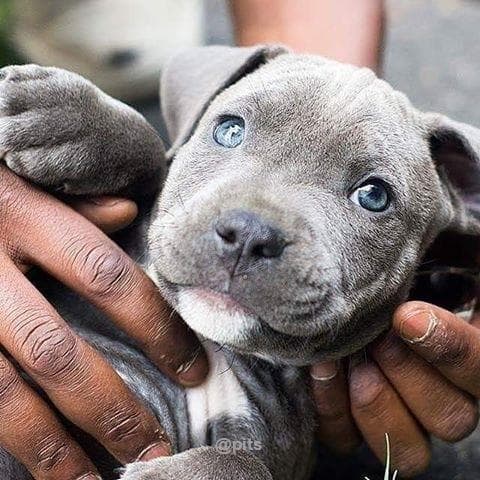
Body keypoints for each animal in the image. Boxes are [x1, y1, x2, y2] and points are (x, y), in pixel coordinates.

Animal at [0, 45, 478, 480]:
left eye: (374, 196)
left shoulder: (278, 446)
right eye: (229, 130)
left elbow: (241, 465)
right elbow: (156, 155)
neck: (212, 345)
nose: (249, 234)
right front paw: (48, 116)